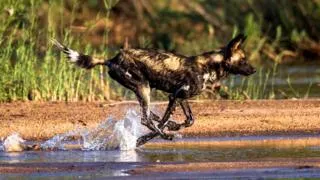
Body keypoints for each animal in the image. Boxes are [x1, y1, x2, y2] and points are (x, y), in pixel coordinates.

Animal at [53, 33, 256, 146]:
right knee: (146, 119)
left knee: (149, 115)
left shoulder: (179, 97)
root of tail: (112, 59)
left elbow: (189, 120)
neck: (209, 67)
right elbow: (161, 124)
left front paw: (173, 125)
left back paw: (170, 126)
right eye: (243, 60)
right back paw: (165, 135)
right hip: (144, 88)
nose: (254, 70)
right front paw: (145, 139)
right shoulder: (175, 96)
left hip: (142, 90)